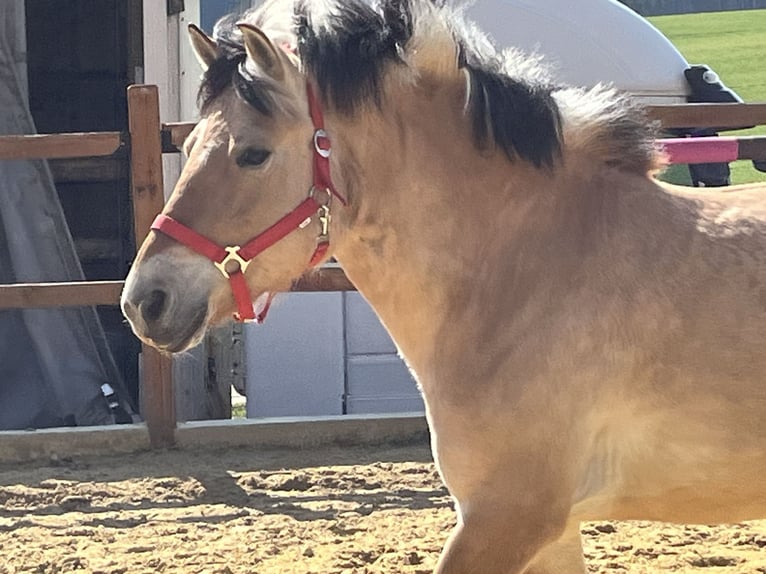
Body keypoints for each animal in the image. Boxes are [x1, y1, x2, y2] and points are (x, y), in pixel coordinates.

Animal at [121, 1, 766, 572]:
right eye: (186, 145)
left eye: (253, 154)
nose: (145, 301)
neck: (531, 270)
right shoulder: (549, 528)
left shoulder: (508, 517)